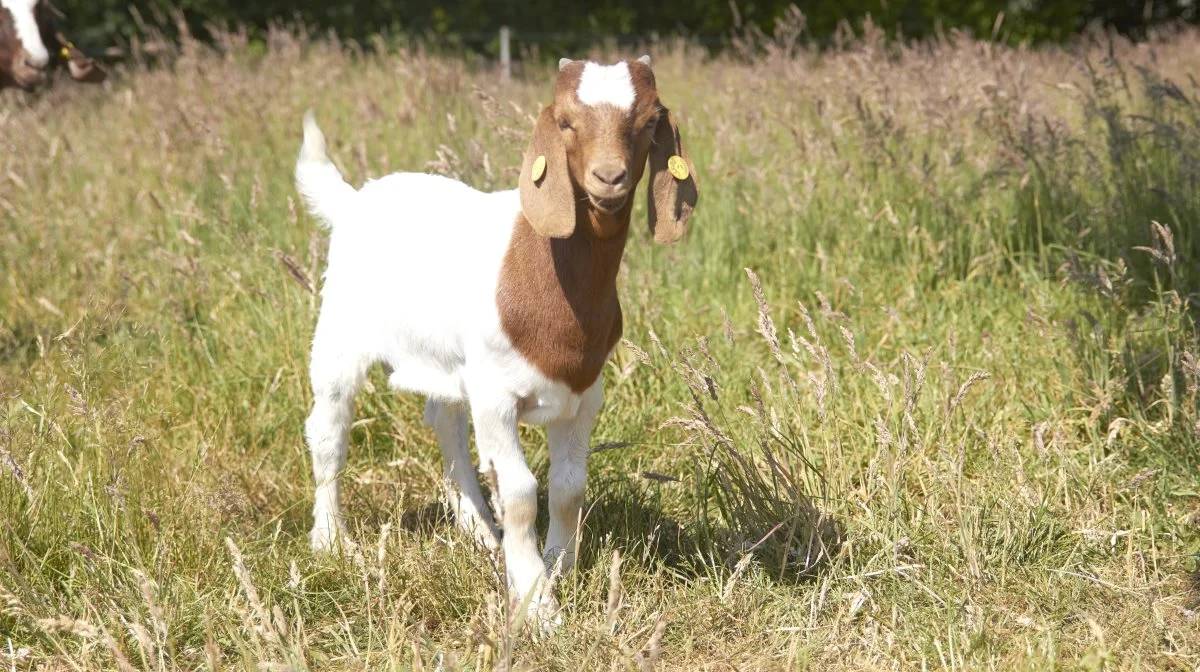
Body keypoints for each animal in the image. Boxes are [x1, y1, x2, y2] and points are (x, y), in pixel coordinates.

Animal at [294, 55, 700, 633]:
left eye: (647, 123)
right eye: (565, 122)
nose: (609, 177)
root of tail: (354, 201)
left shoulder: (583, 396)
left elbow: (569, 488)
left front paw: (559, 566)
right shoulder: (496, 397)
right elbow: (523, 493)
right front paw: (537, 603)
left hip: (449, 361)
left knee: (444, 423)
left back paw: (479, 531)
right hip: (340, 336)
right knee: (329, 431)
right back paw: (331, 542)